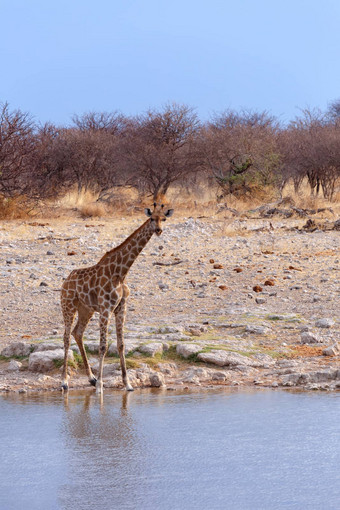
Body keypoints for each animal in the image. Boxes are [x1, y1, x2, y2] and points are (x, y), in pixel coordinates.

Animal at [59, 201, 174, 392]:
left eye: (163, 218)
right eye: (151, 218)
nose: (159, 230)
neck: (120, 273)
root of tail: (66, 280)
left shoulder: (121, 307)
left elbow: (121, 344)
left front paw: (127, 384)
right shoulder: (106, 308)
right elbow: (103, 346)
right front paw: (100, 387)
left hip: (86, 309)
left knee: (78, 333)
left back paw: (91, 378)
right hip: (68, 305)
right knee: (66, 337)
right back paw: (64, 382)